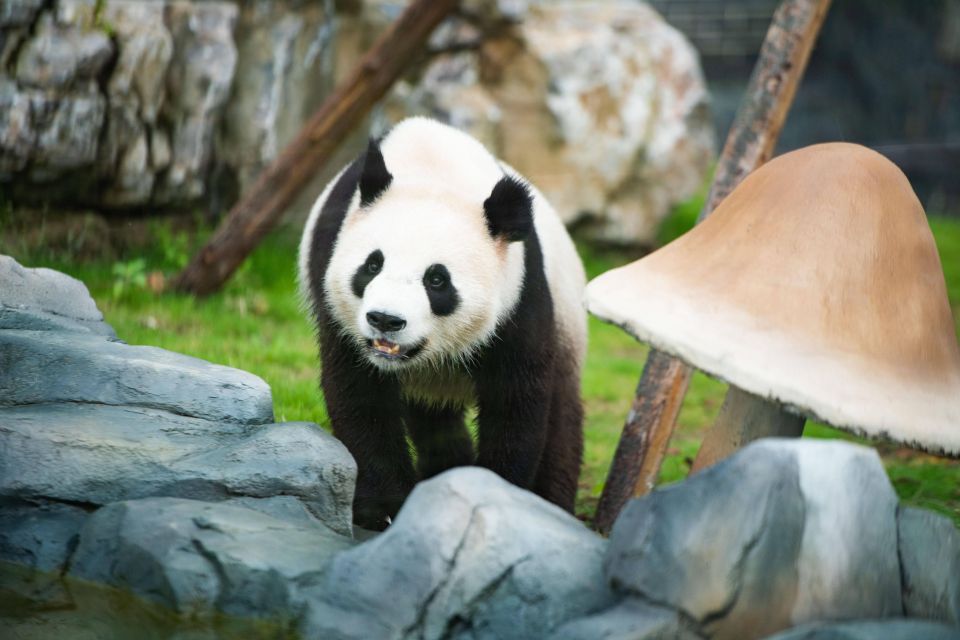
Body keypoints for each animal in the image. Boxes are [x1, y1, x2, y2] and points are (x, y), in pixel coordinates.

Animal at [298, 116, 584, 528]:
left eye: (437, 280)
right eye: (372, 265)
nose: (385, 319)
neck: (432, 170)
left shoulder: (519, 295)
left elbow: (516, 398)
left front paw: (499, 490)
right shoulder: (334, 289)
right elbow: (359, 393)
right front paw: (385, 508)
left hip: (566, 314)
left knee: (562, 414)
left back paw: (552, 501)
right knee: (433, 419)